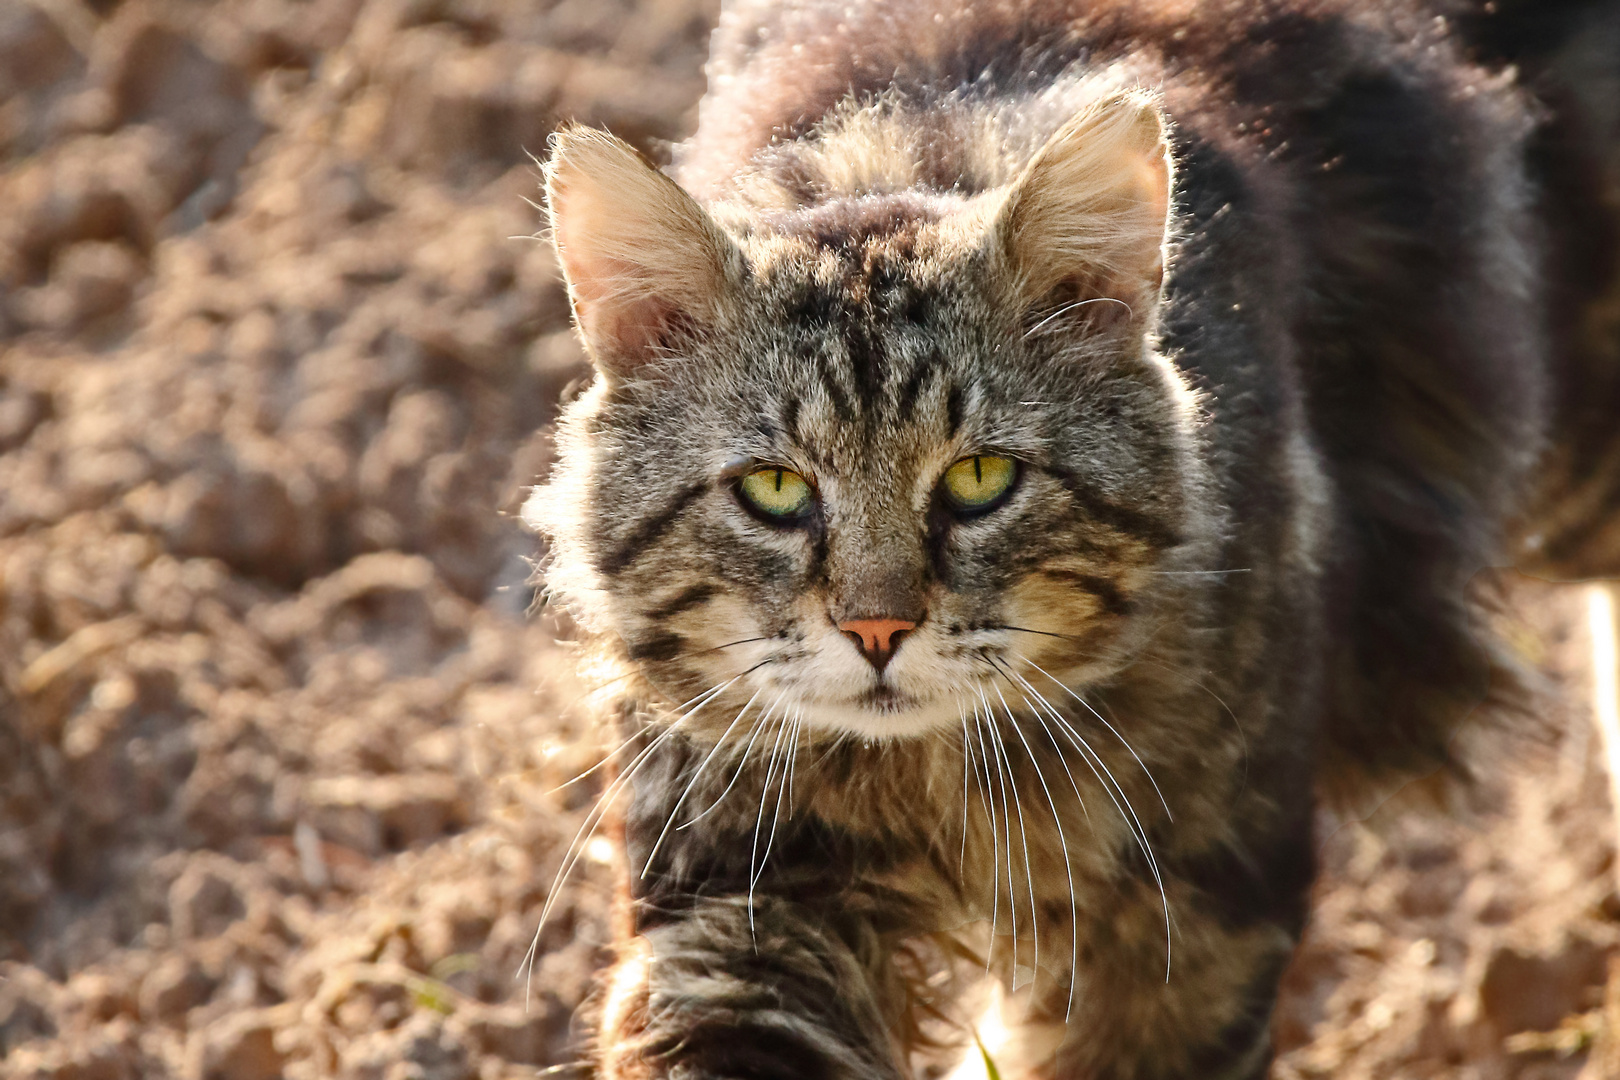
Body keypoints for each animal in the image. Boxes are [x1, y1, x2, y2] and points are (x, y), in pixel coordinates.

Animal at [524, 2, 1620, 1080]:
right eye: (776, 489)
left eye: (980, 479)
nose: (877, 632)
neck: (929, 778)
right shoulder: (734, 900)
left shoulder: (1194, 917)